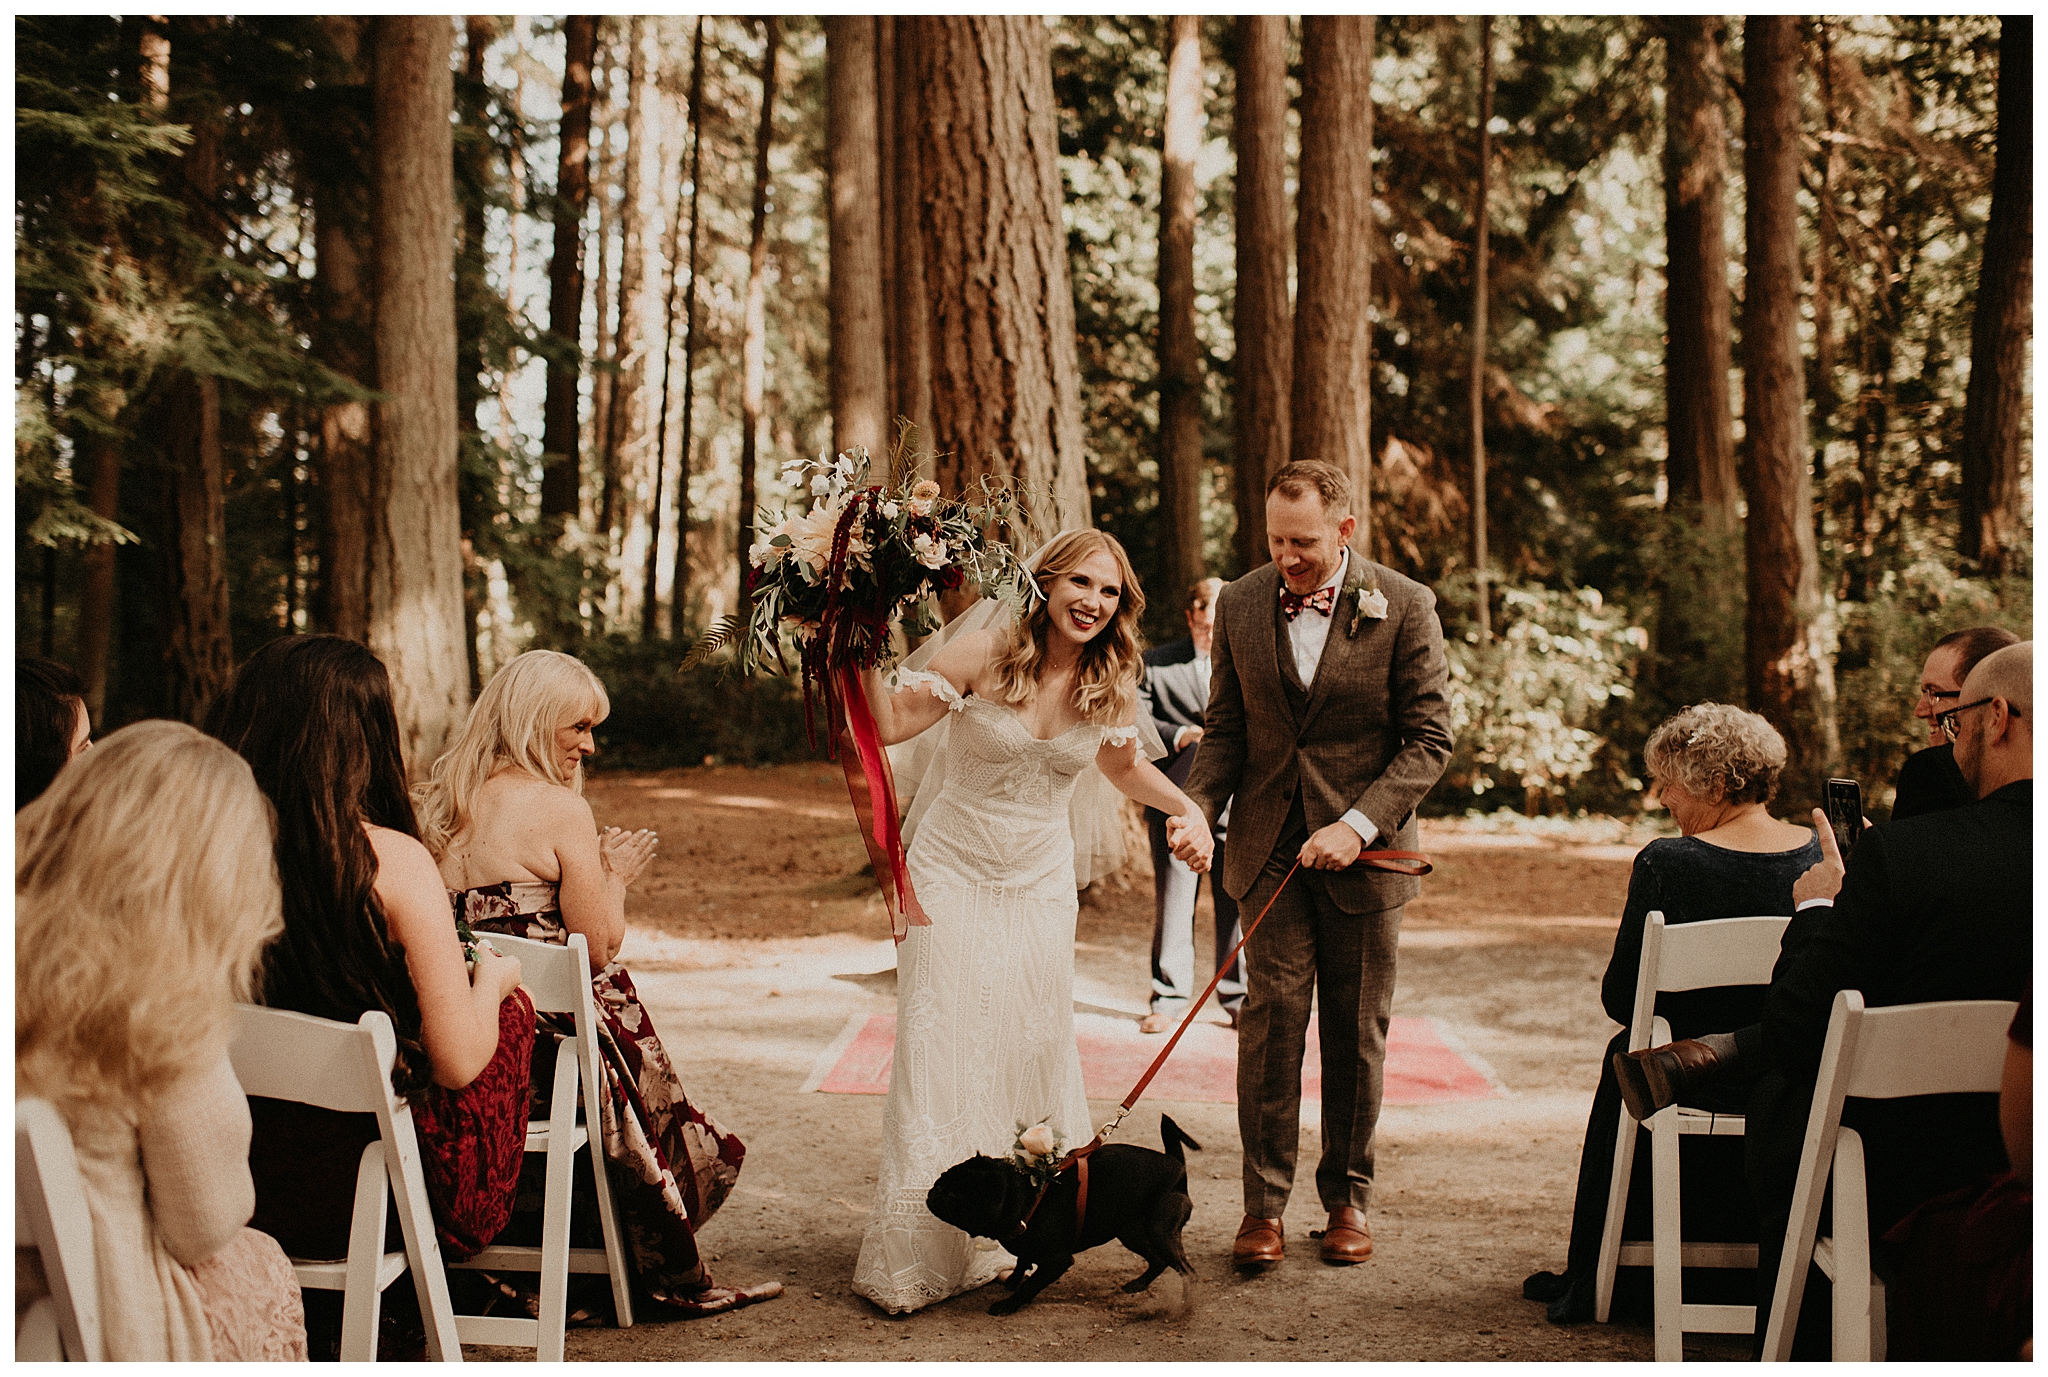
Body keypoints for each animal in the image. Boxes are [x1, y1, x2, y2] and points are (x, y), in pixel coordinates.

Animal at [929, 1114, 1196, 1319]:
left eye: (954, 1195)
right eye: (941, 1180)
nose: (933, 1191)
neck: (1028, 1197)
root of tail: (1177, 1165)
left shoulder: (1057, 1261)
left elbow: (1031, 1284)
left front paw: (1009, 1304)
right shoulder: (1028, 1248)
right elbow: (1022, 1262)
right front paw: (1013, 1282)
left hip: (1159, 1232)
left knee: (1186, 1270)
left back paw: (1184, 1307)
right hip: (1131, 1233)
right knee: (1158, 1261)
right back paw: (1137, 1285)